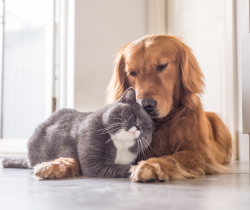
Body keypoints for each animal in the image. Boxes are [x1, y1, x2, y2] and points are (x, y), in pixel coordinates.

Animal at [2, 88, 152, 178]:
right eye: (132, 114)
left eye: (146, 127)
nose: (138, 127)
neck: (120, 146)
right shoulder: (94, 163)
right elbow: (123, 167)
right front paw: (139, 169)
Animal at [106, 34, 231, 182]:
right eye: (132, 72)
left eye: (162, 66)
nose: (145, 105)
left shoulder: (201, 151)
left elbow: (175, 157)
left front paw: (152, 165)